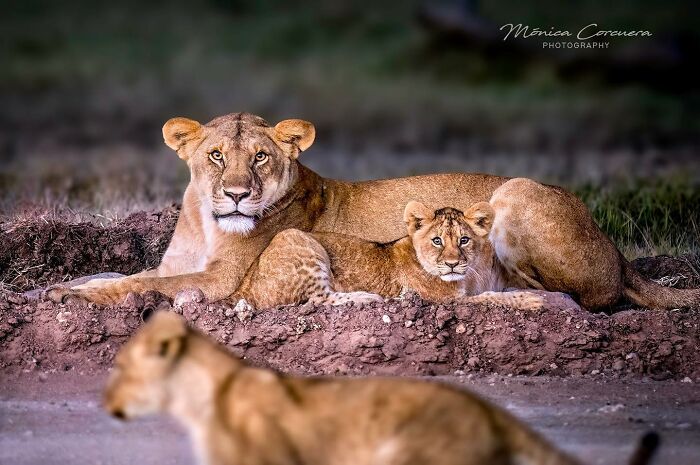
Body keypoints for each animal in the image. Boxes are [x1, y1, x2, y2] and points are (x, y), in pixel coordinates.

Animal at [230, 200, 544, 311]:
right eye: (437, 241)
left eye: (464, 240)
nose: (453, 264)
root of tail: (242, 284)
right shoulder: (446, 300)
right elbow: (489, 298)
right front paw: (530, 300)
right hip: (298, 238)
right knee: (317, 299)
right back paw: (368, 298)